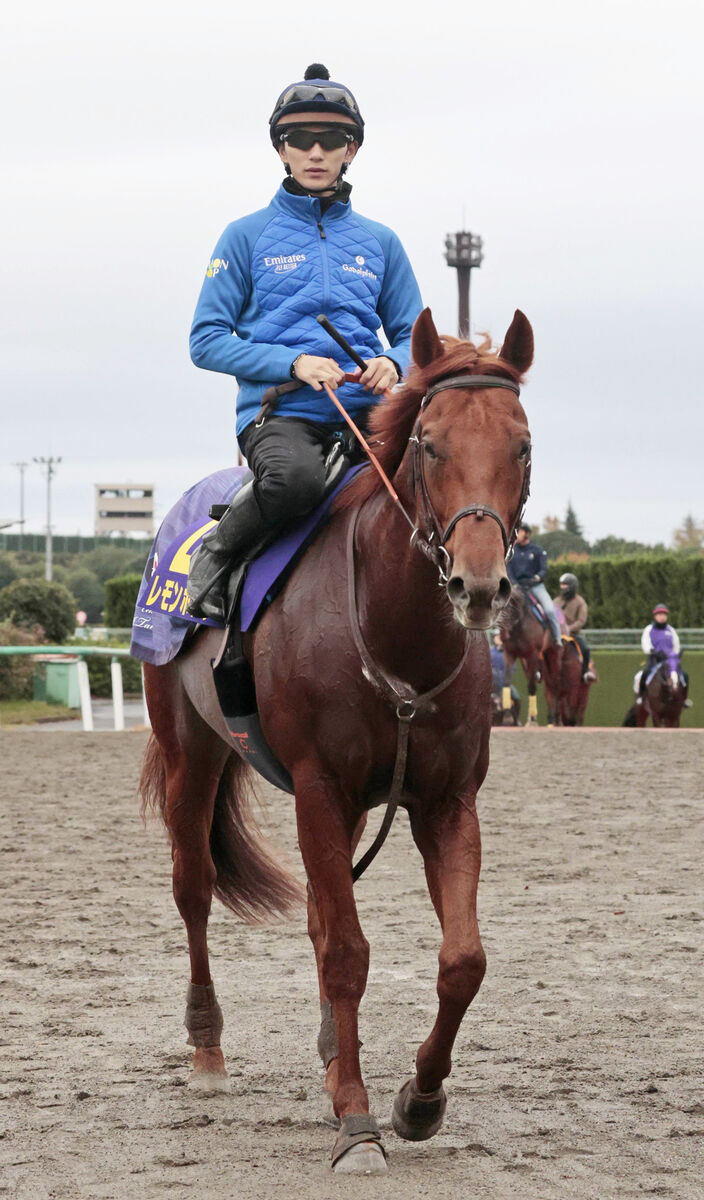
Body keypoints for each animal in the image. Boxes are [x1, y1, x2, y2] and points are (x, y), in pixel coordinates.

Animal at [137, 307, 534, 1171]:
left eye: (522, 444)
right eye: (430, 444)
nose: (478, 585)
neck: (394, 631)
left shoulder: (445, 800)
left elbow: (462, 959)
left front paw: (418, 1100)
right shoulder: (319, 787)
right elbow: (348, 953)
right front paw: (356, 1120)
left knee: (321, 915)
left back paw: (327, 1054)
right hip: (192, 753)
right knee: (193, 886)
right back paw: (208, 1049)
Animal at [501, 583, 561, 720]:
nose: (503, 633)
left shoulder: (532, 654)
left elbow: (532, 687)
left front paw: (533, 716)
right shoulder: (509, 653)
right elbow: (506, 681)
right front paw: (506, 710)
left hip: (552, 655)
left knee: (554, 685)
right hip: (528, 663)